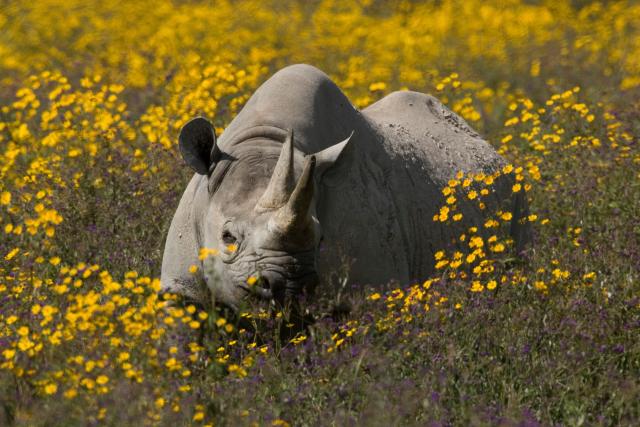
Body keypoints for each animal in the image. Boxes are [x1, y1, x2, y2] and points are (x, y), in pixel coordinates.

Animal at [161, 64, 530, 312]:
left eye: (321, 238)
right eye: (227, 237)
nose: (289, 286)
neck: (266, 142)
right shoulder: (181, 286)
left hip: (517, 193)